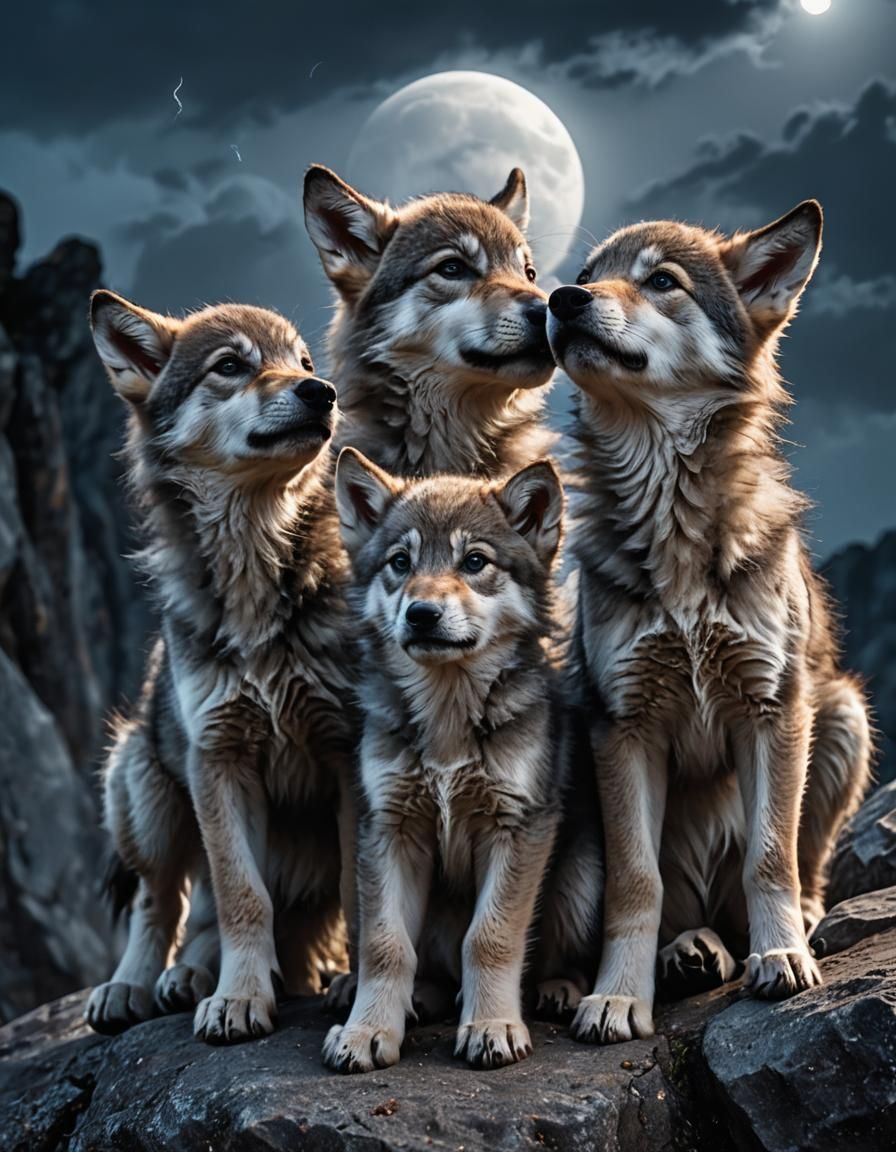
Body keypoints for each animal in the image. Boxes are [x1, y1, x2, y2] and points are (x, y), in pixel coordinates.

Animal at [84, 290, 357, 1044]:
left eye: (303, 362)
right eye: (231, 366)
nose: (322, 393)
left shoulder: (353, 753)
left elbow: (364, 887)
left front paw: (359, 990)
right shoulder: (219, 758)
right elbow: (241, 897)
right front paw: (239, 998)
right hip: (141, 786)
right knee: (162, 902)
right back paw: (145, 984)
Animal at [321, 449, 564, 1071]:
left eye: (474, 561)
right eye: (400, 562)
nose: (422, 613)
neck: (449, 717)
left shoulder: (518, 825)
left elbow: (489, 936)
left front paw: (492, 1025)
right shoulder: (390, 828)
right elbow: (385, 945)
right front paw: (366, 1031)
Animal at [545, 200, 871, 1043]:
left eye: (662, 281)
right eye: (588, 274)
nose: (560, 298)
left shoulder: (773, 708)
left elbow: (770, 858)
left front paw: (781, 955)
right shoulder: (622, 724)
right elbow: (636, 883)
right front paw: (616, 996)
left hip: (843, 712)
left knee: (794, 871)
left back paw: (774, 933)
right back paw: (649, 962)